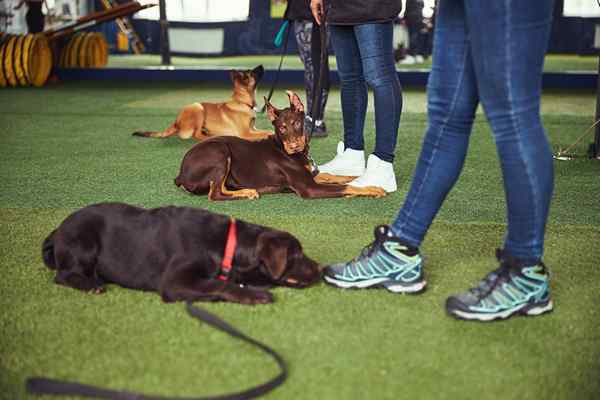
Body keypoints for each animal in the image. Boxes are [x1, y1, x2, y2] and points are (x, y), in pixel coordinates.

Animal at [42, 202, 322, 304]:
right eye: (297, 255)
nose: (320, 269)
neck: (227, 244)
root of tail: (58, 230)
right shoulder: (174, 281)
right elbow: (217, 284)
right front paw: (255, 295)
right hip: (83, 242)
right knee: (63, 275)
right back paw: (92, 285)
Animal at [132, 67, 274, 144]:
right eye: (252, 72)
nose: (262, 65)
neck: (243, 102)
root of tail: (176, 122)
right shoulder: (246, 134)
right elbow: (267, 134)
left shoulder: (253, 129)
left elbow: (268, 131)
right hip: (197, 108)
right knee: (197, 135)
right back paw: (213, 136)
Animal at [173, 90, 386, 200]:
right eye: (282, 128)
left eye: (296, 123)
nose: (293, 146)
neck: (282, 148)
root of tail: (181, 173)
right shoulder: (309, 188)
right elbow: (346, 187)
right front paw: (372, 189)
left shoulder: (312, 175)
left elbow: (336, 177)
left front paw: (360, 177)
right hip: (219, 151)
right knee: (215, 193)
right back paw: (248, 192)